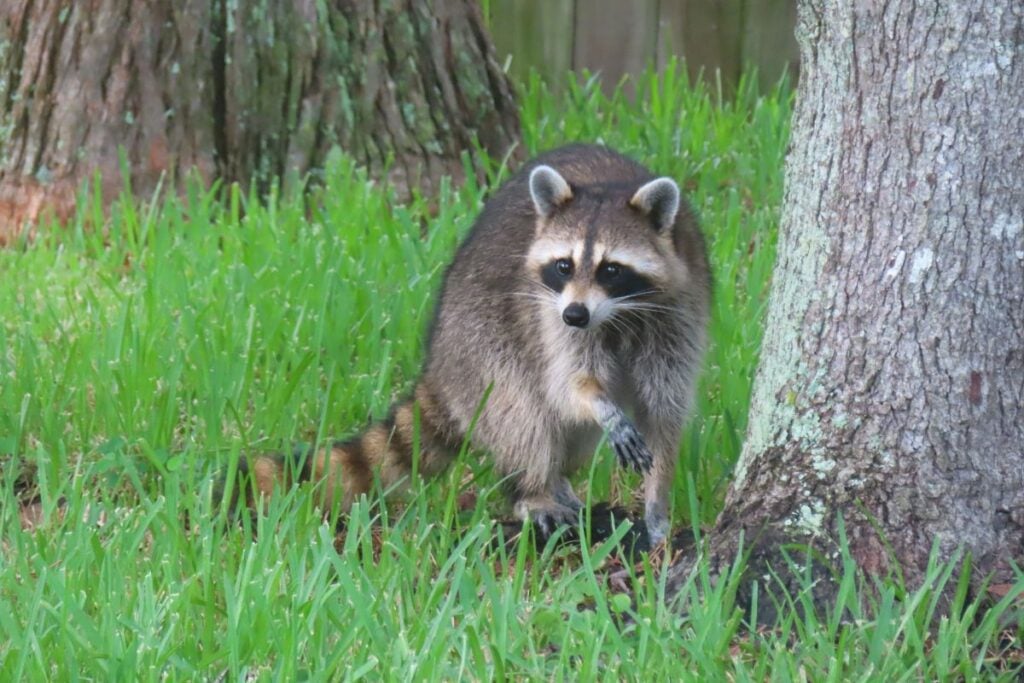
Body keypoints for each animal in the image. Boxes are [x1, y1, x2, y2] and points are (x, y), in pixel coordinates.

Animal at [230, 144, 711, 546]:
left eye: (611, 269)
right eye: (564, 265)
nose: (575, 315)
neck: (616, 315)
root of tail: (439, 364)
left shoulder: (677, 314)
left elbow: (664, 412)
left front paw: (657, 502)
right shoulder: (550, 316)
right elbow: (568, 385)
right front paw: (599, 405)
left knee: (566, 432)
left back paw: (557, 481)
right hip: (479, 342)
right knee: (522, 412)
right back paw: (534, 488)